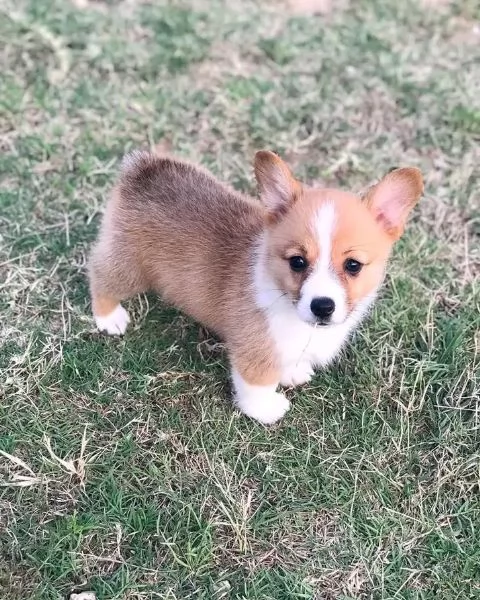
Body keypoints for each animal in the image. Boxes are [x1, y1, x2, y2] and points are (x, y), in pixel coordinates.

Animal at [88, 152, 422, 424]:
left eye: (353, 265)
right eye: (297, 261)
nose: (322, 306)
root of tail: (143, 167)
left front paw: (293, 371)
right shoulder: (254, 349)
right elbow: (256, 384)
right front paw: (266, 410)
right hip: (130, 268)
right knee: (99, 274)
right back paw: (109, 318)